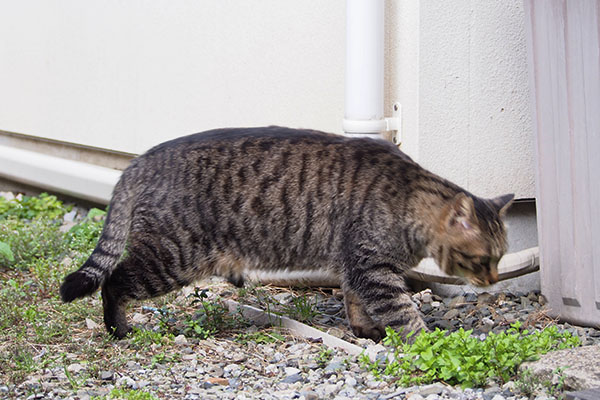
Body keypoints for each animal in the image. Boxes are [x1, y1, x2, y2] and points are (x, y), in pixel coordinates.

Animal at [59, 126, 510, 340]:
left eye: (501, 257)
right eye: (483, 259)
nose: (493, 280)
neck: (408, 200)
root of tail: (140, 160)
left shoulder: (355, 264)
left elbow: (355, 302)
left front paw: (366, 332)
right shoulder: (373, 268)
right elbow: (402, 311)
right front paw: (424, 342)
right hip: (171, 258)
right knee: (114, 282)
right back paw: (119, 330)